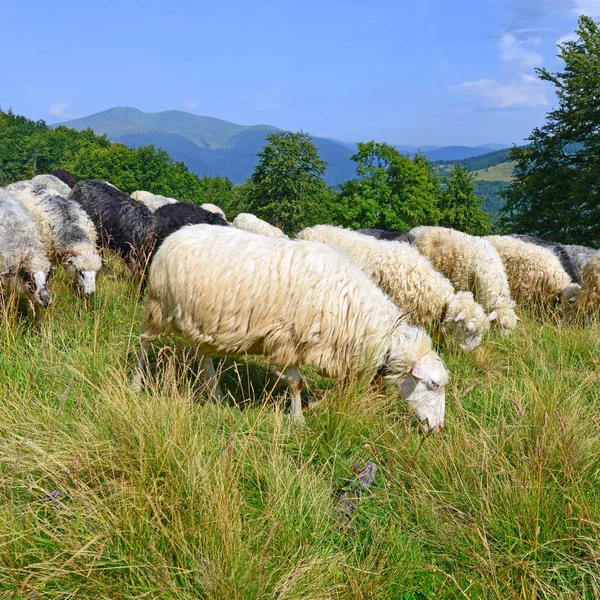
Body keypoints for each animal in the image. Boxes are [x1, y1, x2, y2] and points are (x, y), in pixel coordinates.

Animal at [132, 225, 450, 432]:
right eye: (433, 385)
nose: (437, 428)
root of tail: (173, 236)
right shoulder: (287, 340)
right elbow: (295, 383)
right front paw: (298, 419)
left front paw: (313, 406)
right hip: (160, 306)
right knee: (144, 343)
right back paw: (136, 383)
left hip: (204, 320)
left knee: (203, 356)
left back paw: (216, 394)